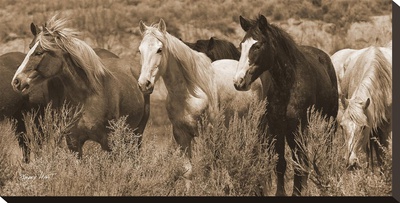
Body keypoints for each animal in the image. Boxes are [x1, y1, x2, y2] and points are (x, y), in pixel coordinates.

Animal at [12, 15, 151, 159]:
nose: (16, 81)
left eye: (39, 52)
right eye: (30, 47)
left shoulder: (109, 143)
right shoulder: (74, 143)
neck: (88, 96)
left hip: (136, 134)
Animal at [136, 18, 264, 189]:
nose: (144, 84)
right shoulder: (181, 135)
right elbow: (188, 172)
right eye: (140, 51)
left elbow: (207, 169)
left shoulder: (207, 134)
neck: (189, 95)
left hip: (251, 125)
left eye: (159, 50)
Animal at [233, 14, 340, 195]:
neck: (287, 84)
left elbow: (298, 164)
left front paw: (297, 192)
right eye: (241, 46)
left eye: (257, 45)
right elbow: (281, 164)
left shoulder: (297, 127)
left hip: (328, 123)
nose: (238, 81)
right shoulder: (277, 127)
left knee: (325, 152)